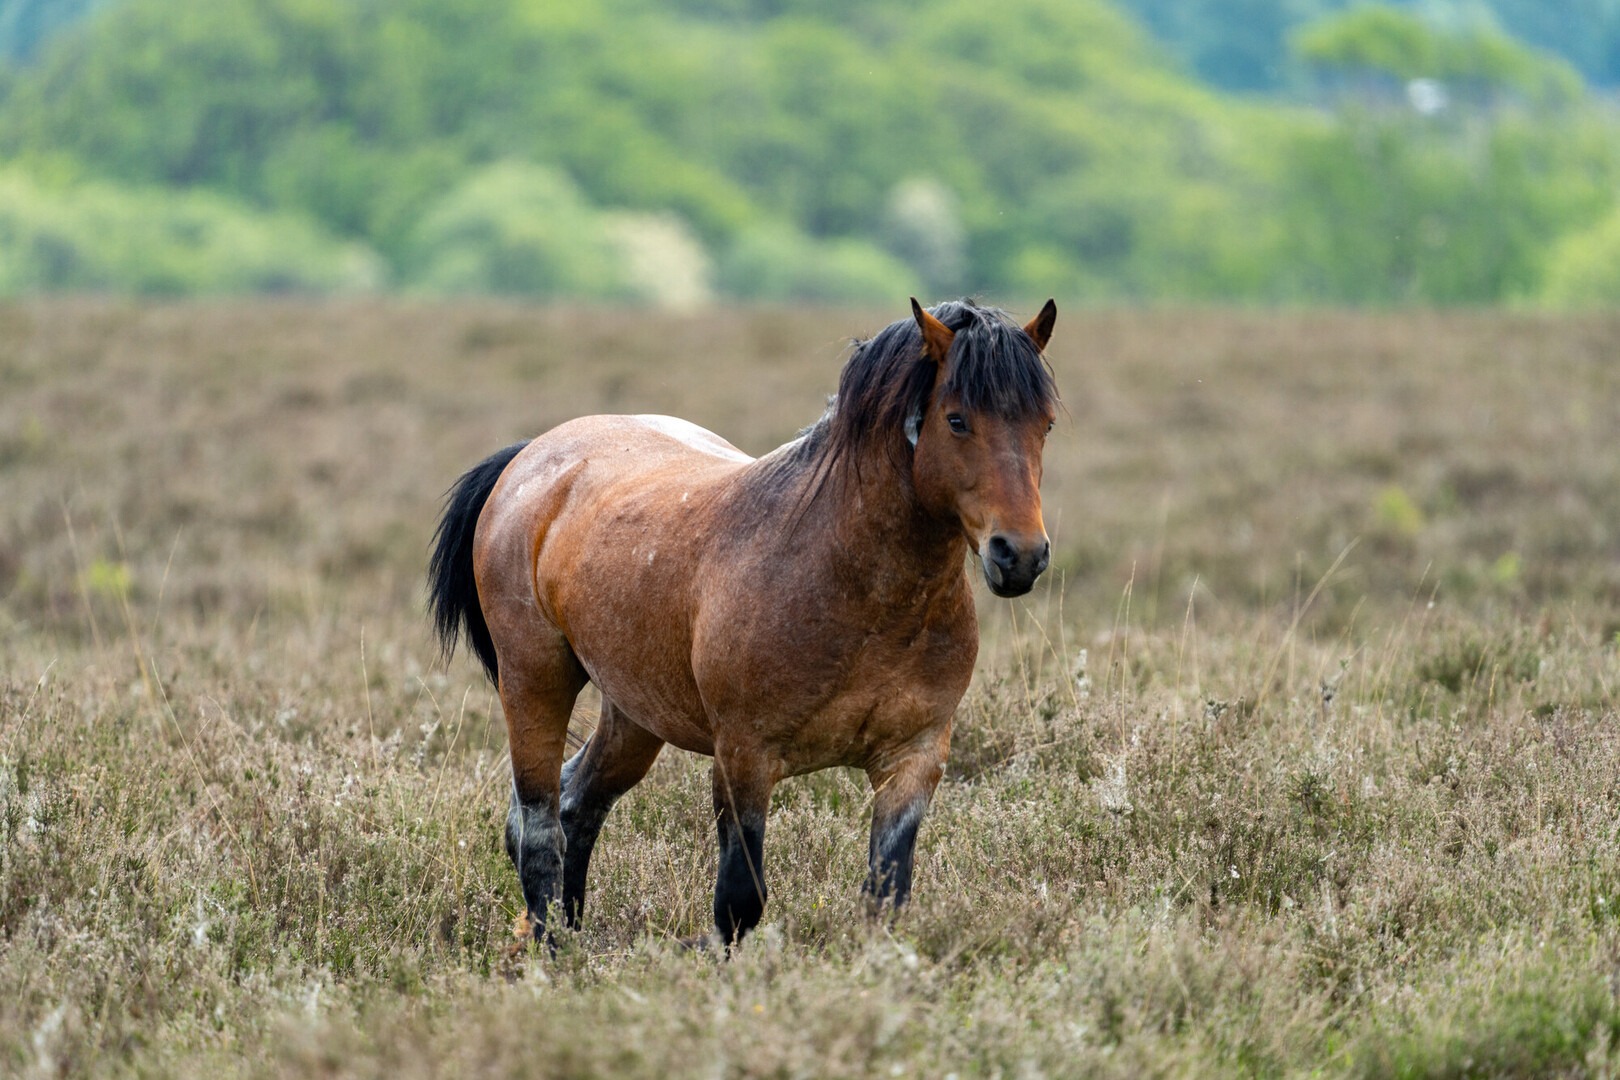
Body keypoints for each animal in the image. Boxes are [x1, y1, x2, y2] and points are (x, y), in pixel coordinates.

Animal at [429, 297, 1060, 945]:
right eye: (957, 421)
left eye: (1045, 425)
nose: (1021, 555)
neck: (856, 590)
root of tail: (533, 456)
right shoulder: (743, 760)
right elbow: (738, 903)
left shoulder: (913, 761)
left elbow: (885, 898)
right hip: (535, 681)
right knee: (538, 828)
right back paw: (551, 947)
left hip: (635, 714)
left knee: (578, 807)